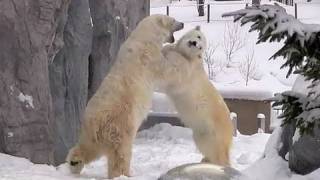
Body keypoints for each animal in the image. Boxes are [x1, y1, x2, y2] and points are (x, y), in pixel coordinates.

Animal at [66, 14, 184, 179]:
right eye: (173, 20)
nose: (183, 23)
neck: (144, 37)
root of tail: (95, 121)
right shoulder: (149, 58)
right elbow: (167, 71)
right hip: (121, 123)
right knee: (120, 152)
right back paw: (123, 174)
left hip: (92, 133)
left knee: (88, 147)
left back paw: (74, 163)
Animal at [160, 26, 232, 166]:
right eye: (198, 36)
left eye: (201, 46)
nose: (194, 43)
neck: (191, 57)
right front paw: (167, 47)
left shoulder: (189, 71)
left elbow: (179, 69)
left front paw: (169, 51)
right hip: (201, 132)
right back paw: (205, 160)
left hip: (213, 133)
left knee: (218, 153)